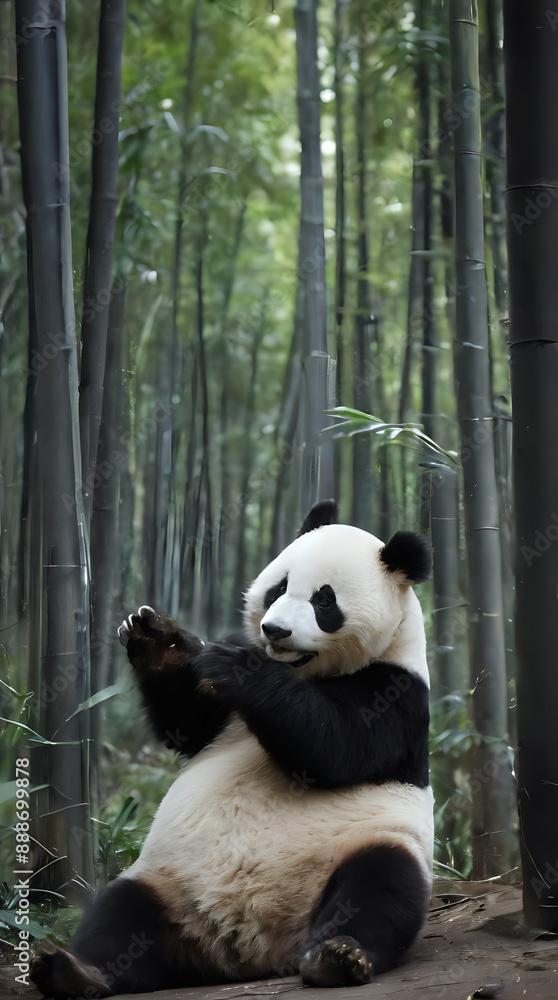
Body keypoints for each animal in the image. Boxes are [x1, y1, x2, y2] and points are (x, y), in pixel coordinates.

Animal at [31, 500, 433, 999]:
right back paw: (73, 970)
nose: (274, 629)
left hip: (364, 842)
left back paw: (336, 957)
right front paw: (158, 640)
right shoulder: (219, 718)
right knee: (119, 916)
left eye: (324, 601)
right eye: (279, 587)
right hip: (166, 880)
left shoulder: (398, 694)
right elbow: (187, 728)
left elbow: (335, 748)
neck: (302, 673)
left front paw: (238, 663)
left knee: (379, 887)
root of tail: (246, 947)